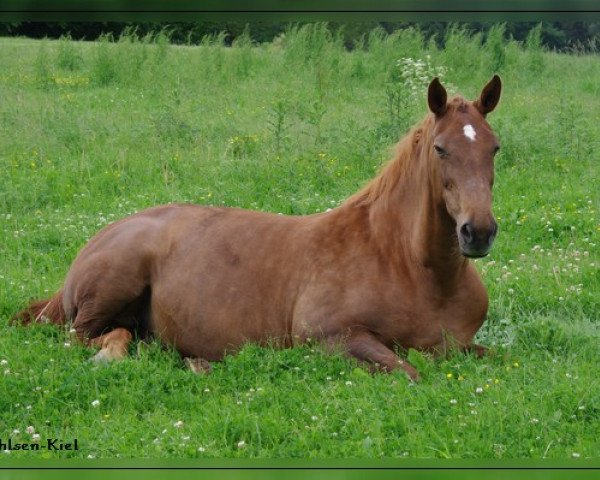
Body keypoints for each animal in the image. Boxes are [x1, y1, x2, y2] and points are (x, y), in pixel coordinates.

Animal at [12, 76, 502, 382]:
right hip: (112, 286)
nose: (477, 232)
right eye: (440, 148)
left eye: (495, 148)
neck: (412, 270)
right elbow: (411, 373)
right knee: (86, 335)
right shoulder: (331, 338)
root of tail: (103, 233)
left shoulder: (462, 346)